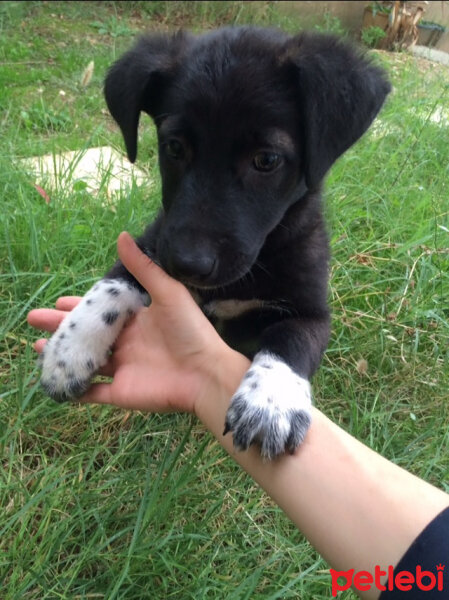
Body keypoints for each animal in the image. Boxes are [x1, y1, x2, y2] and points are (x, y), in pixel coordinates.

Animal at [38, 27, 388, 460]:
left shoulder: (311, 312)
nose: (188, 264)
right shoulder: (152, 245)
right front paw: (67, 352)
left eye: (267, 160)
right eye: (174, 147)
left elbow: (290, 342)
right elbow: (111, 284)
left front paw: (269, 403)